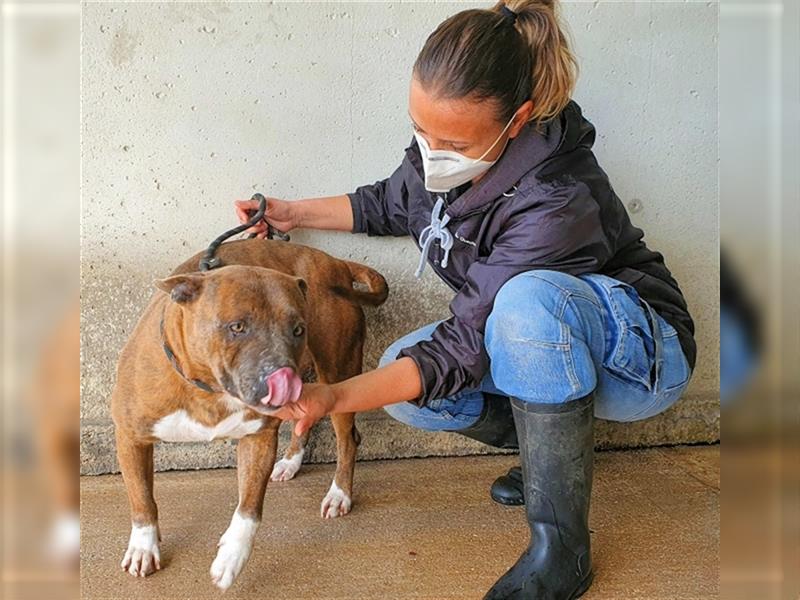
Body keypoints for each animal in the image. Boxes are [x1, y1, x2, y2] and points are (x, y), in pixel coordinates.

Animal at [111, 237, 388, 588]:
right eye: (238, 327)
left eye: (298, 329)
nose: (282, 375)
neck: (208, 390)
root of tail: (335, 263)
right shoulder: (130, 437)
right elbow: (141, 497)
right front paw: (144, 547)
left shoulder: (258, 438)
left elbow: (249, 508)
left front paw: (232, 556)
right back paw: (291, 462)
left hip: (338, 371)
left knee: (348, 439)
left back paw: (339, 494)